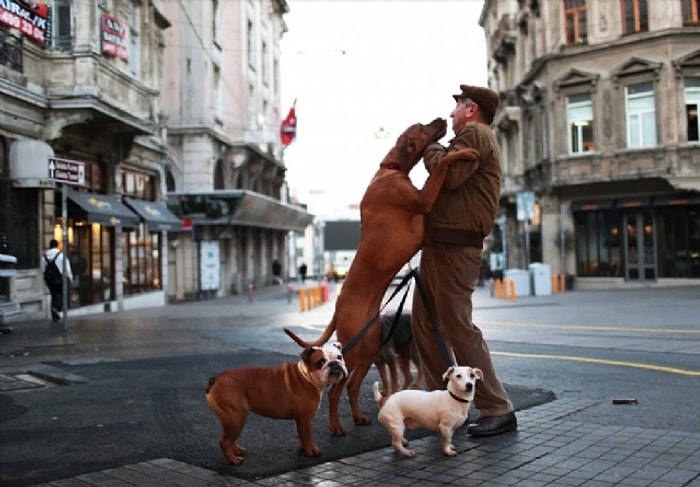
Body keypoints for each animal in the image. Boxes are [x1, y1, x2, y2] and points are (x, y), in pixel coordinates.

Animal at [284, 119, 476, 438]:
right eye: (422, 126)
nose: (441, 119)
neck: (392, 168)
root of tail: (338, 309)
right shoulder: (423, 199)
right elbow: (442, 166)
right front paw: (462, 153)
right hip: (351, 353)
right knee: (336, 390)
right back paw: (336, 426)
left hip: (369, 347)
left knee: (351, 386)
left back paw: (359, 417)